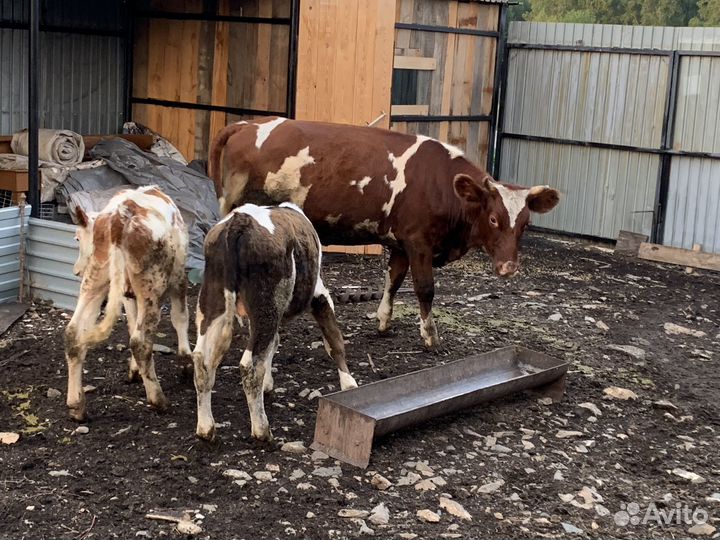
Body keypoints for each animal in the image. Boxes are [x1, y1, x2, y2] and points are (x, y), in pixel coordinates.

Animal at [65, 186, 191, 421]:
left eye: (77, 238)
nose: (76, 271)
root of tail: (117, 218)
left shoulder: (126, 292)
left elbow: (132, 321)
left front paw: (134, 371)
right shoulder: (179, 275)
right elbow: (180, 318)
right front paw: (186, 363)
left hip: (95, 279)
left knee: (73, 332)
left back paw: (77, 405)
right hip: (152, 285)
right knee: (140, 341)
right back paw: (158, 399)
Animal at [192, 202, 357, 442]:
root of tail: (239, 221)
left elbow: (273, 345)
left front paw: (268, 384)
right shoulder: (319, 295)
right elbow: (334, 340)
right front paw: (349, 383)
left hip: (213, 301)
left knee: (203, 361)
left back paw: (206, 428)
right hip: (266, 305)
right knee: (250, 365)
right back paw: (261, 429)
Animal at [208, 117, 561, 348]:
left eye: (525, 223)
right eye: (493, 219)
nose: (508, 267)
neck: (441, 185)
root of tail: (247, 125)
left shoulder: (402, 243)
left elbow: (393, 281)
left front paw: (383, 320)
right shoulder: (419, 242)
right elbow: (425, 289)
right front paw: (430, 335)